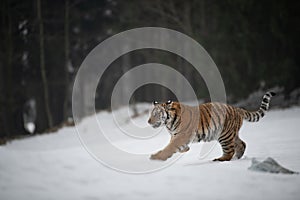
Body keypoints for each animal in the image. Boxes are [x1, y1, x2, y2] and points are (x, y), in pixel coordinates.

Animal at [146, 91, 276, 161]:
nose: (148, 122)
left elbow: (169, 147)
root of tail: (237, 108)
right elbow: (172, 146)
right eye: (151, 114)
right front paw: (184, 149)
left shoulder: (181, 136)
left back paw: (220, 159)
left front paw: (157, 157)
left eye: (156, 114)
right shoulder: (175, 136)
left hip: (225, 135)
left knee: (229, 151)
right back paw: (237, 158)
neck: (168, 123)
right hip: (231, 134)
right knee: (242, 144)